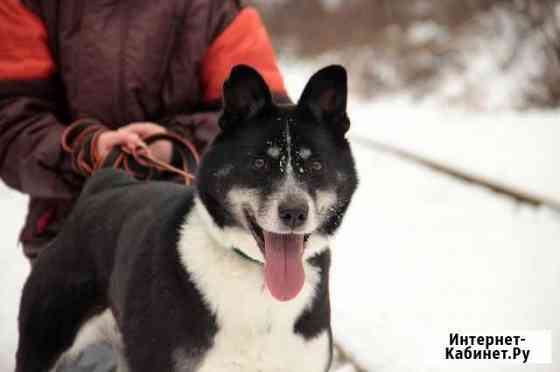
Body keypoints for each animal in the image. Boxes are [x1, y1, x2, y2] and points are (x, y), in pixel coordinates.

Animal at [17, 64, 360, 372]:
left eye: (315, 166)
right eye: (260, 163)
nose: (294, 212)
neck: (256, 278)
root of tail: (106, 182)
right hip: (43, 340)